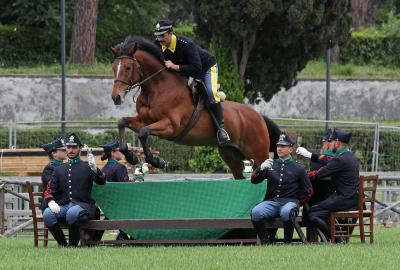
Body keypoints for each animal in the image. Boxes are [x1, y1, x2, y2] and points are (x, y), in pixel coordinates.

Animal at [111, 35, 280, 179]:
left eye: (127, 67)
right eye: (113, 67)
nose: (116, 97)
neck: (156, 89)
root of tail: (260, 117)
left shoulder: (171, 126)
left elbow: (144, 133)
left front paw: (157, 162)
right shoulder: (143, 120)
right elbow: (123, 122)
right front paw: (131, 157)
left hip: (258, 154)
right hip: (231, 155)